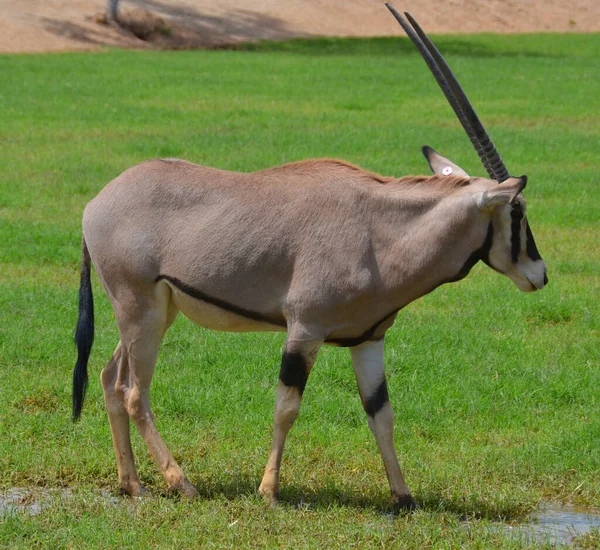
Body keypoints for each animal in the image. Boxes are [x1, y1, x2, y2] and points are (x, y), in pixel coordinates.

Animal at [71, 4, 548, 512]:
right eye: (516, 210)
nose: (539, 274)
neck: (380, 231)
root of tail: (95, 205)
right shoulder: (304, 330)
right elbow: (287, 407)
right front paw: (268, 491)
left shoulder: (368, 339)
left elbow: (381, 414)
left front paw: (403, 496)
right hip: (139, 310)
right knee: (133, 391)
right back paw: (180, 482)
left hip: (155, 312)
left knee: (109, 377)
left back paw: (132, 483)